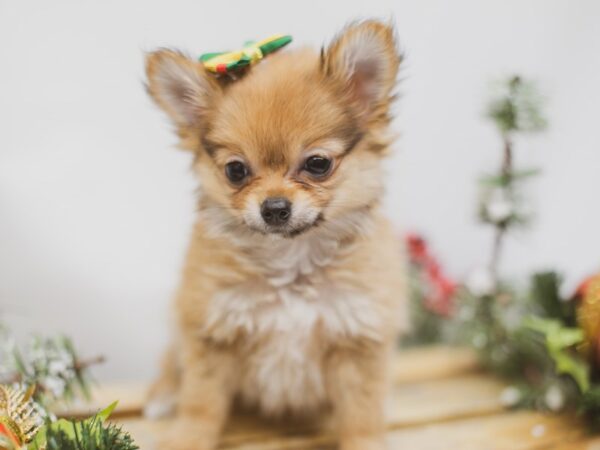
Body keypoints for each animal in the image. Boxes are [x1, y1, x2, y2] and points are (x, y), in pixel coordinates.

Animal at [146, 19, 408, 448]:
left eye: (317, 164)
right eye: (236, 170)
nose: (273, 207)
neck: (291, 262)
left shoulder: (359, 340)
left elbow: (362, 414)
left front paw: (365, 441)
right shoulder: (211, 331)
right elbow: (201, 403)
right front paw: (187, 437)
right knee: (172, 363)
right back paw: (162, 395)